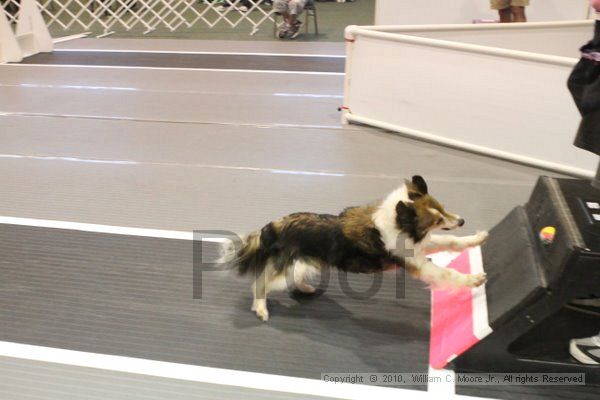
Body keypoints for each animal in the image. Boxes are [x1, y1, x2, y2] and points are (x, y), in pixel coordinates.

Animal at [225, 177, 488, 320]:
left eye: (443, 209)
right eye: (436, 220)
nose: (461, 221)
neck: (397, 223)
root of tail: (272, 226)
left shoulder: (418, 245)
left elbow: (450, 241)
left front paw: (477, 238)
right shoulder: (418, 264)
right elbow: (447, 273)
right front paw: (474, 279)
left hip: (305, 264)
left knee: (291, 277)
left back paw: (306, 288)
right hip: (285, 269)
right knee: (261, 283)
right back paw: (261, 308)